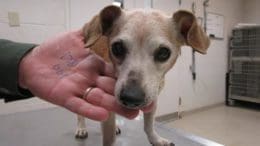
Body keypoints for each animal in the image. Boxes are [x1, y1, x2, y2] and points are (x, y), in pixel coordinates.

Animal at [74, 5, 209, 145]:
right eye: (117, 48)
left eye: (163, 52)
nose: (131, 97)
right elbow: (109, 139)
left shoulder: (153, 99)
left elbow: (149, 125)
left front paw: (156, 140)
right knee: (80, 112)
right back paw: (81, 128)